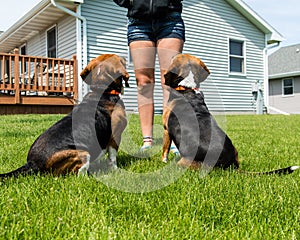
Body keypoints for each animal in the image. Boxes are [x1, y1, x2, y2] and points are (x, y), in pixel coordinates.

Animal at [0, 54, 129, 178]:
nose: (125, 58)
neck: (102, 91)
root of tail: (32, 163)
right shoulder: (115, 136)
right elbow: (112, 158)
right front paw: (116, 171)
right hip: (84, 154)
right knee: (79, 175)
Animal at [163, 54, 298, 174]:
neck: (187, 87)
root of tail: (230, 165)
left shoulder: (166, 129)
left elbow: (165, 149)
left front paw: (163, 162)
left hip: (184, 163)